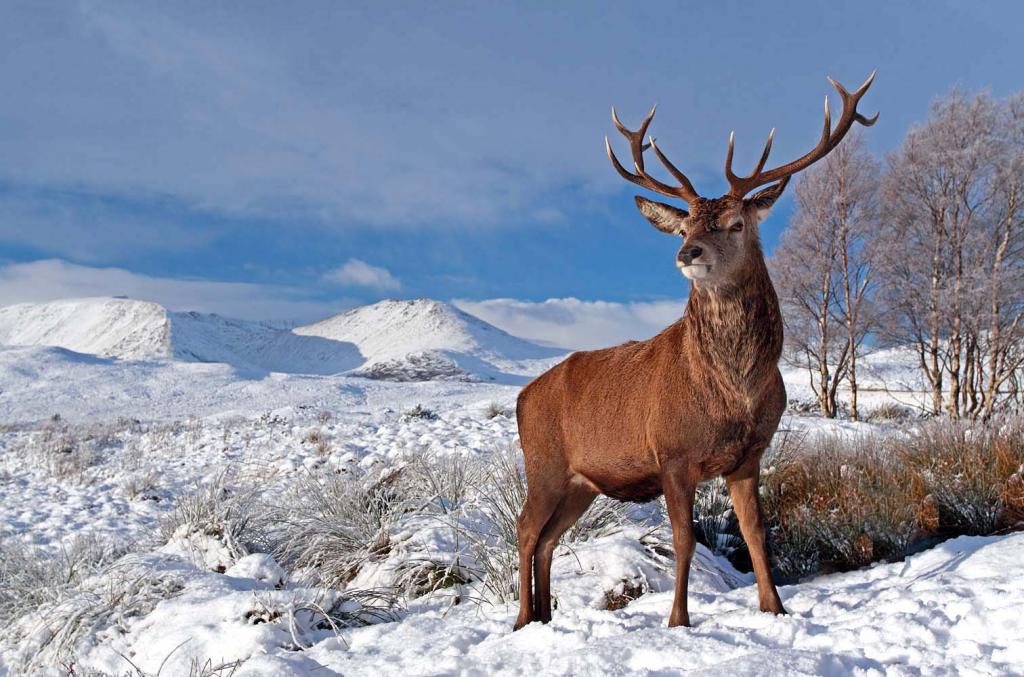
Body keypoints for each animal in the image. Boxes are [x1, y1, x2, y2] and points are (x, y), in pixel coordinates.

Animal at [516, 71, 876, 626]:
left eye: (736, 223)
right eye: (684, 225)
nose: (688, 252)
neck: (734, 392)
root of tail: (521, 397)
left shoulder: (749, 455)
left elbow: (755, 534)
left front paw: (774, 608)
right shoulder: (672, 454)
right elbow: (684, 540)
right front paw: (678, 620)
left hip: (581, 483)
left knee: (549, 539)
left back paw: (544, 618)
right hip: (544, 464)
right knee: (524, 530)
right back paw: (519, 620)